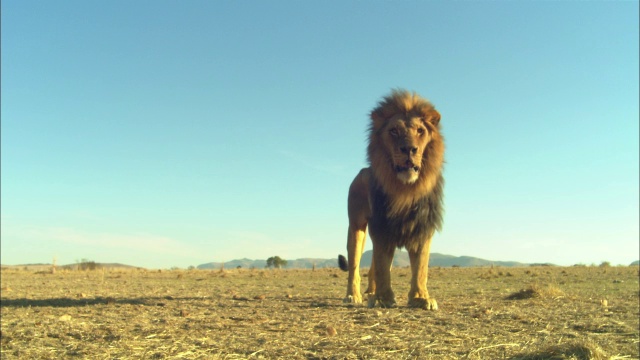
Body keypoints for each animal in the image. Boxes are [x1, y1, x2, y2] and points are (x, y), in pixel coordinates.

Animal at [338, 89, 442, 310]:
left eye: (420, 131)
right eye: (394, 131)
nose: (409, 149)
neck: (405, 189)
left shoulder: (422, 226)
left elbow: (420, 267)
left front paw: (421, 298)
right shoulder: (382, 226)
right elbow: (383, 265)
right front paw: (383, 299)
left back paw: (371, 291)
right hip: (356, 227)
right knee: (354, 266)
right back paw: (353, 295)